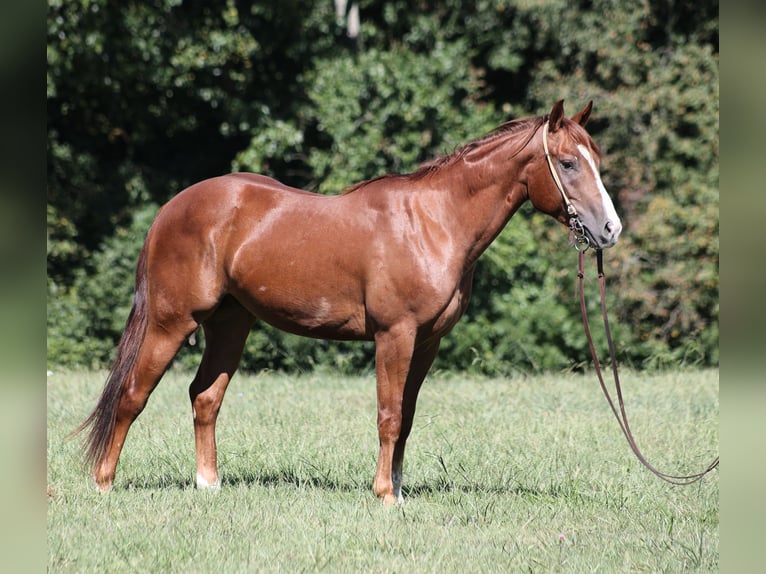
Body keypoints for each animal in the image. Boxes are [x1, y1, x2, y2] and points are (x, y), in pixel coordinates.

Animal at [77, 100, 622, 504]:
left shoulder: (427, 343)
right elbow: (389, 414)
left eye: (597, 161)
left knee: (205, 396)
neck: (435, 221)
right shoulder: (394, 335)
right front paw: (383, 495)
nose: (609, 230)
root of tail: (171, 209)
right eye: (568, 163)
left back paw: (208, 485)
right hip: (172, 322)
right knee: (133, 394)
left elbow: (408, 416)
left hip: (231, 324)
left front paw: (398, 491)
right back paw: (104, 484)